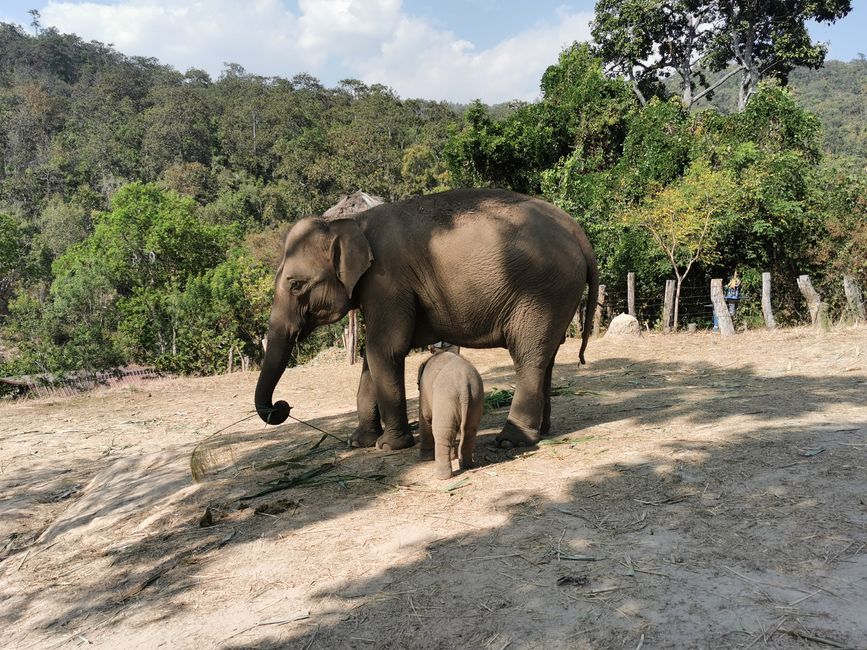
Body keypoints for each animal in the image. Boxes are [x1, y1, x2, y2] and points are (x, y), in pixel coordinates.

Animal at [254, 188, 598, 451]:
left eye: (296, 285)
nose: (282, 406)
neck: (351, 223)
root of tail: (578, 233)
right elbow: (371, 356)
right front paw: (358, 442)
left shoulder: (386, 282)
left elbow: (386, 349)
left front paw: (389, 446)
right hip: (555, 296)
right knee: (545, 355)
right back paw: (542, 431)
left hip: (541, 291)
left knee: (528, 355)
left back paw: (509, 440)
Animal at [416, 349, 484, 480]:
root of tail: (464, 383)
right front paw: (453, 456)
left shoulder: (424, 391)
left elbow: (425, 417)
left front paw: (425, 459)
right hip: (476, 398)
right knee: (469, 431)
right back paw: (467, 466)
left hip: (445, 399)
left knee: (443, 432)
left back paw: (442, 476)